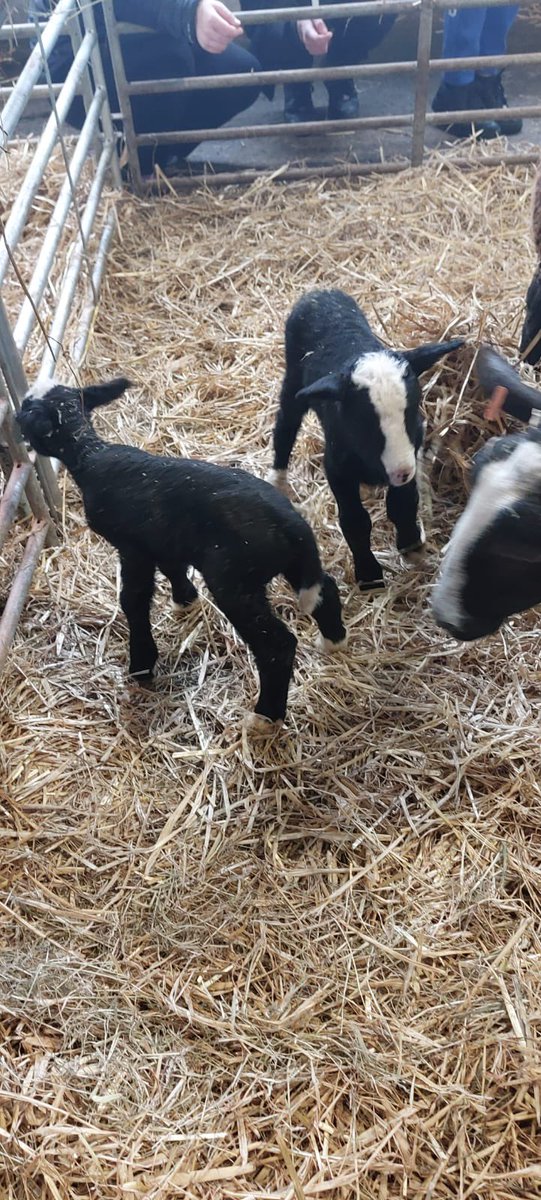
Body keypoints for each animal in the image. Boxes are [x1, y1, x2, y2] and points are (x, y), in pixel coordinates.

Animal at [17, 378, 346, 731]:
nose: (14, 422)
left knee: (276, 645)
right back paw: (333, 641)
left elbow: (133, 600)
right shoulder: (162, 538)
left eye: (27, 408)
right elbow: (173, 567)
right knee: (326, 588)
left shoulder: (132, 546)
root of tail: (293, 526)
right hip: (296, 566)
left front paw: (142, 664)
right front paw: (185, 600)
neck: (88, 454)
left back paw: (265, 716)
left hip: (234, 580)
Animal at [268, 289, 464, 589]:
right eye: (363, 422)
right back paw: (277, 478)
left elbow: (403, 504)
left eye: (412, 412)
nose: (402, 471)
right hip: (293, 380)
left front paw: (411, 547)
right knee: (285, 424)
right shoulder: (337, 468)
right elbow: (355, 521)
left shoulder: (412, 453)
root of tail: (320, 293)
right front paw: (369, 575)